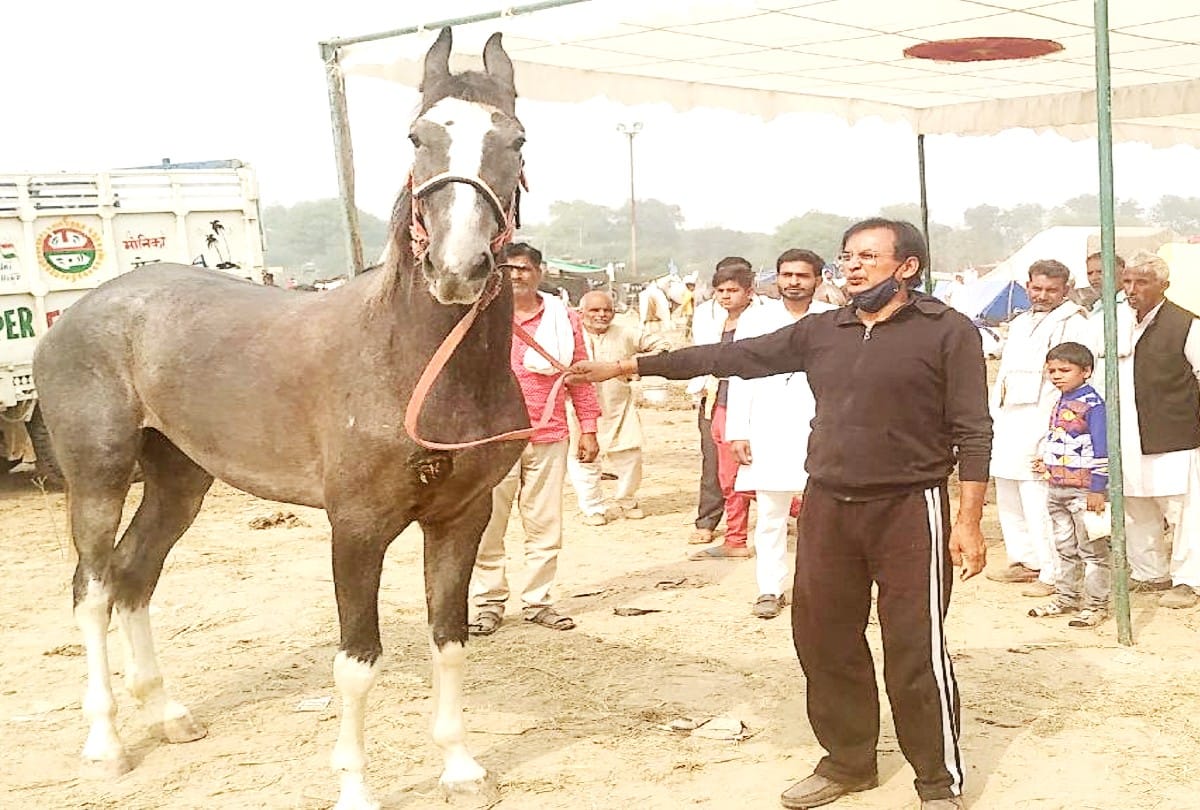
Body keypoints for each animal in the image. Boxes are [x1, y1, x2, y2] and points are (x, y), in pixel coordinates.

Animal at [32, 27, 528, 810]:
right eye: (417, 138)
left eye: (515, 140)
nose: (459, 269)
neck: (413, 363)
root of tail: (84, 310)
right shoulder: (356, 525)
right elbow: (357, 659)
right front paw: (355, 788)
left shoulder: (462, 515)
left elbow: (448, 638)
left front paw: (460, 768)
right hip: (99, 477)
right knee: (93, 589)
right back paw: (105, 742)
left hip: (180, 479)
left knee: (136, 574)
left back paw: (168, 714)